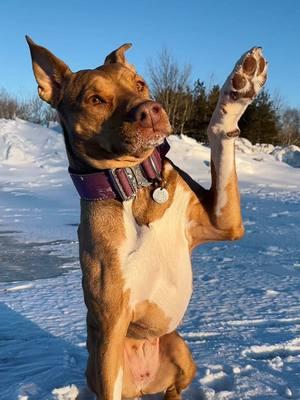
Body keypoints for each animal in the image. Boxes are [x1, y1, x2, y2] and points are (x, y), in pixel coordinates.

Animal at [27, 36, 268, 398]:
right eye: (96, 99)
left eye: (140, 84)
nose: (150, 109)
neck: (134, 184)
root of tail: (144, 382)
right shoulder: (112, 322)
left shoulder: (226, 223)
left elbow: (219, 137)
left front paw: (240, 86)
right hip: (100, 365)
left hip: (179, 346)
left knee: (174, 388)